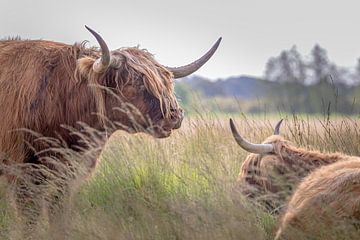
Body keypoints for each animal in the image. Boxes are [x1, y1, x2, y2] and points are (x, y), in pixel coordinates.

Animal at [0, 26, 221, 234]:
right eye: (133, 83)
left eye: (166, 83)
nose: (174, 116)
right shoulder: (23, 172)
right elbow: (29, 219)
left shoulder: (70, 176)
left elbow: (58, 215)